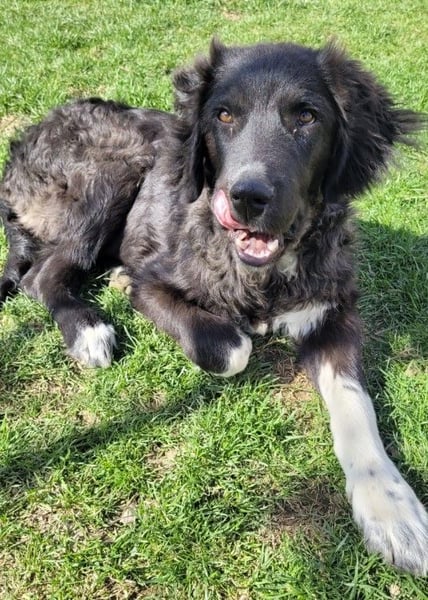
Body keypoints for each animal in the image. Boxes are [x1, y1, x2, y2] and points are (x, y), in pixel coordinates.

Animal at [0, 40, 427, 575]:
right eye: (223, 115)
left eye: (307, 117)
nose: (246, 197)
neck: (263, 271)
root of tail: (30, 135)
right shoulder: (155, 283)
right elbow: (231, 347)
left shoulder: (333, 313)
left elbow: (356, 403)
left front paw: (393, 509)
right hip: (114, 170)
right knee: (40, 276)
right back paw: (87, 327)